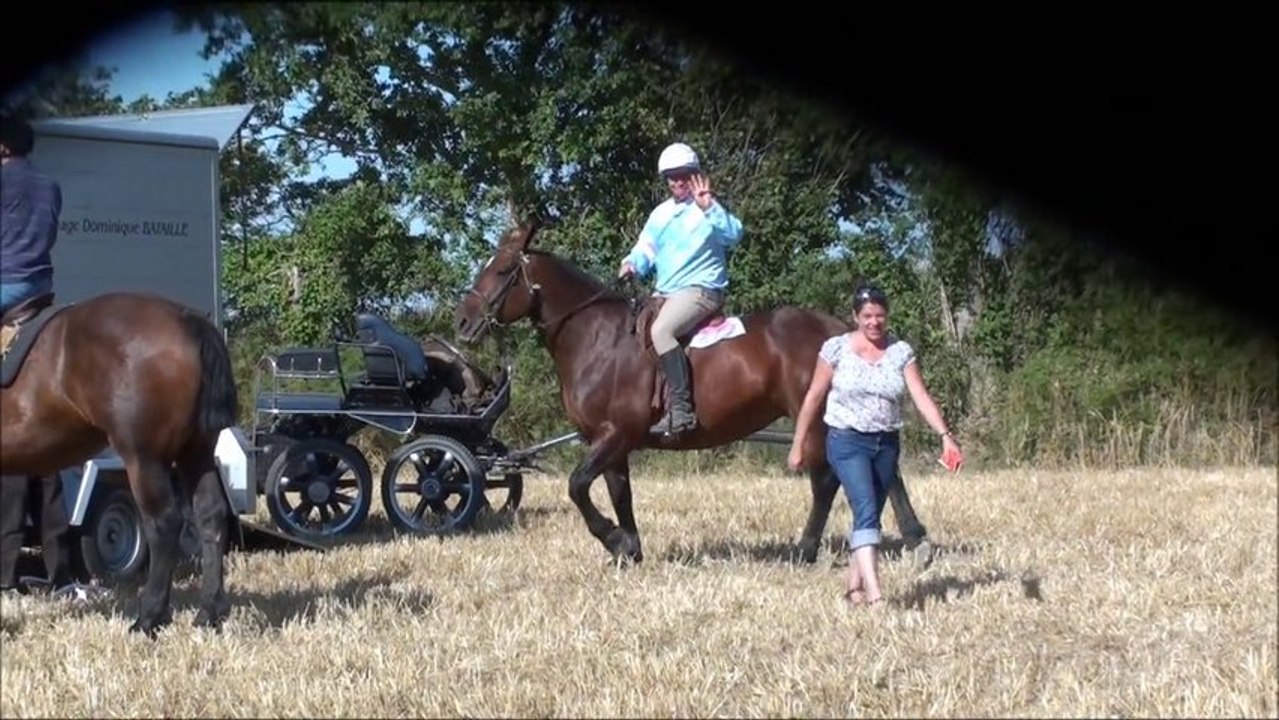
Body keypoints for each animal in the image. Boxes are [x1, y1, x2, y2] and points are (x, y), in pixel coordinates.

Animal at [0, 291, 238, 637]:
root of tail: (185, 318)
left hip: (145, 459)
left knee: (163, 524)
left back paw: (149, 617)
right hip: (197, 452)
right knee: (210, 515)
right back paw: (210, 612)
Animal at [453, 220, 930, 565]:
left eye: (501, 270)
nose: (462, 321)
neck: (597, 337)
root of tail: (838, 330)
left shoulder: (614, 435)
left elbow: (577, 486)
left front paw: (613, 540)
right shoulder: (610, 443)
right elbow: (619, 493)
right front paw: (629, 550)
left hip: (812, 419)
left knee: (828, 481)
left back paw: (807, 550)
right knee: (876, 470)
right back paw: (912, 540)